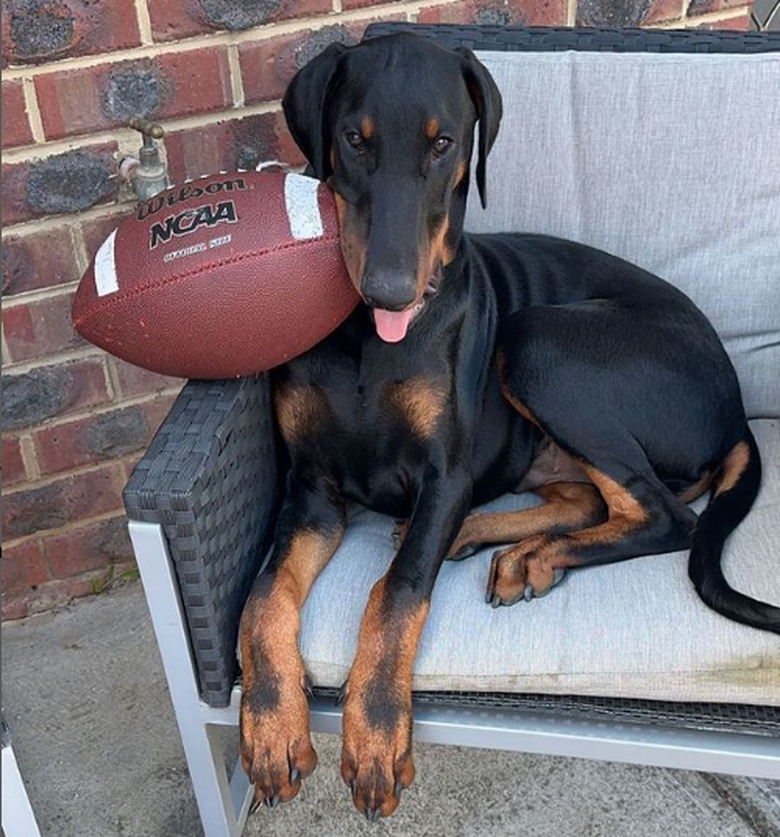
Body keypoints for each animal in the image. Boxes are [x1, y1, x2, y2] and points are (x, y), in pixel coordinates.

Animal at [239, 31, 780, 816]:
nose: (389, 291)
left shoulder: (443, 473)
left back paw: (523, 550)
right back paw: (500, 542)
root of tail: (737, 406)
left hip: (537, 341)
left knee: (666, 515)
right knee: (589, 499)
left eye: (444, 144)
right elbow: (262, 597)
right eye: (352, 140)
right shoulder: (312, 488)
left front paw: (375, 731)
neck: (368, 341)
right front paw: (272, 724)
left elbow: (397, 591)